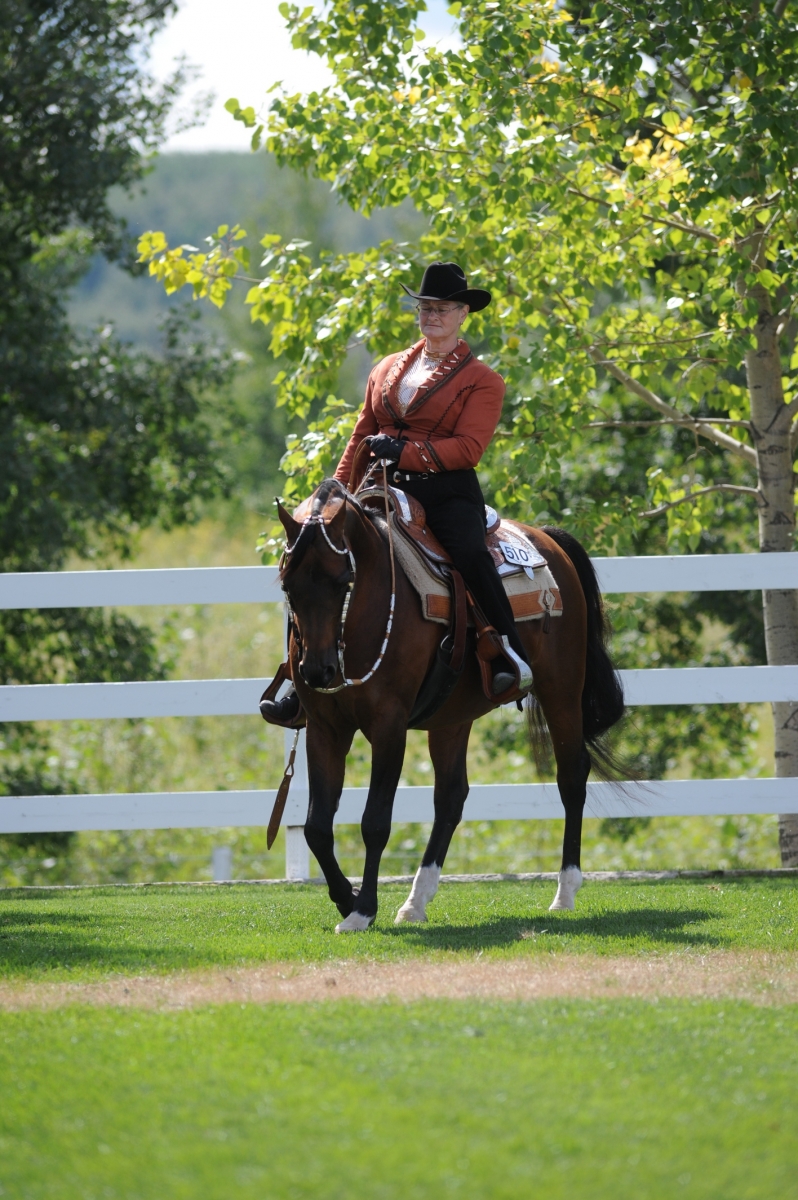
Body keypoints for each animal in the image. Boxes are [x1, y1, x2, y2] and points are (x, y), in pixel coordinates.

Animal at [276, 475, 625, 932]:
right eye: (288, 585)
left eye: (342, 581)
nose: (318, 671)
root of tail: (548, 539)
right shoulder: (325, 728)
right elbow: (317, 827)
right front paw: (345, 898)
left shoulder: (389, 728)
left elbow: (375, 823)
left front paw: (363, 907)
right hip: (452, 717)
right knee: (451, 797)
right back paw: (415, 901)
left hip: (561, 690)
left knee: (571, 777)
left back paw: (564, 892)